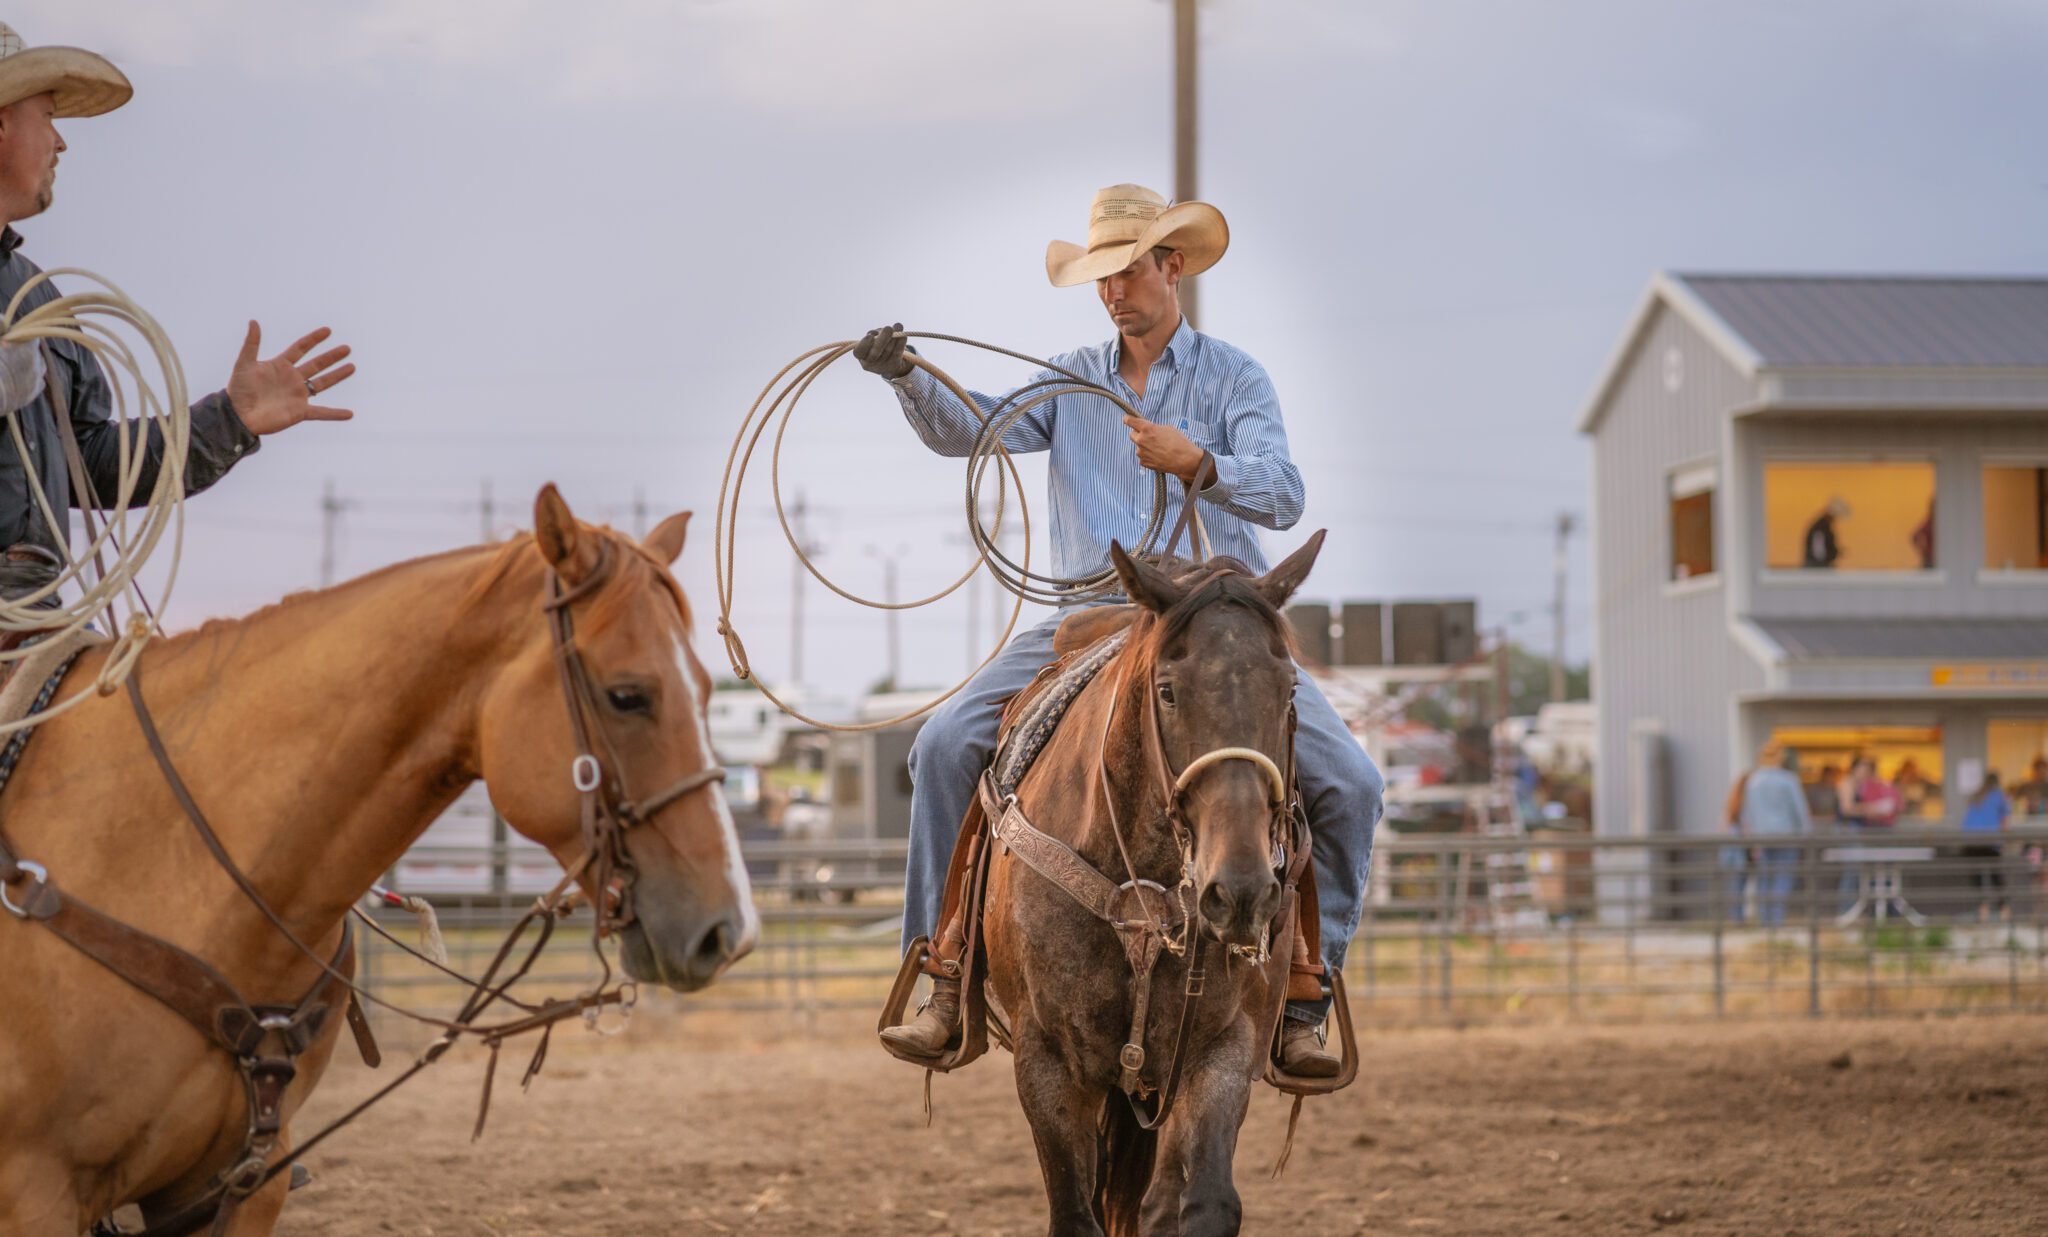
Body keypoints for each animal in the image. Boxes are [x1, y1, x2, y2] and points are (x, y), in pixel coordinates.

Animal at [987, 536, 1335, 1237]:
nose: (1240, 891)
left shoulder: (1222, 1053)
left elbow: (1204, 1204)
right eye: (1168, 691)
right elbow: (1075, 1215)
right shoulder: (1046, 1064)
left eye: (1289, 690)